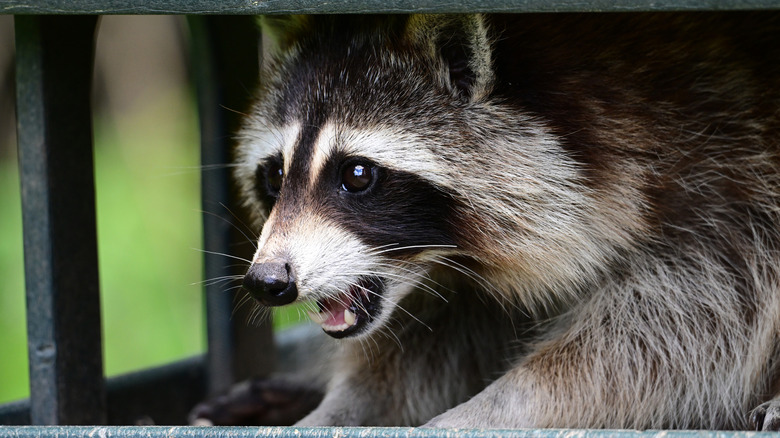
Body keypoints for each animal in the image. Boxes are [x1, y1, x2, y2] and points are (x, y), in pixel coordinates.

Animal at [221, 13, 780, 430]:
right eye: (275, 175)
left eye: (357, 175)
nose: (268, 281)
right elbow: (434, 342)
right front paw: (341, 407)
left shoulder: (727, 178)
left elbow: (682, 333)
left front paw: (497, 406)